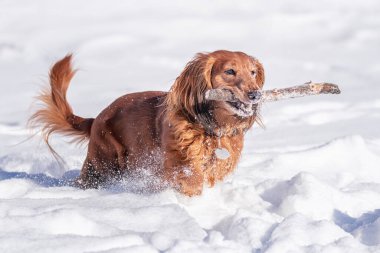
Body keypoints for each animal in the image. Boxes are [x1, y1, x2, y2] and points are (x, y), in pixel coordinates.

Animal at [30, 50, 264, 196]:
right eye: (230, 71)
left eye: (253, 72)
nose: (256, 94)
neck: (211, 129)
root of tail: (96, 119)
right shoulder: (178, 162)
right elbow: (191, 177)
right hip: (105, 164)